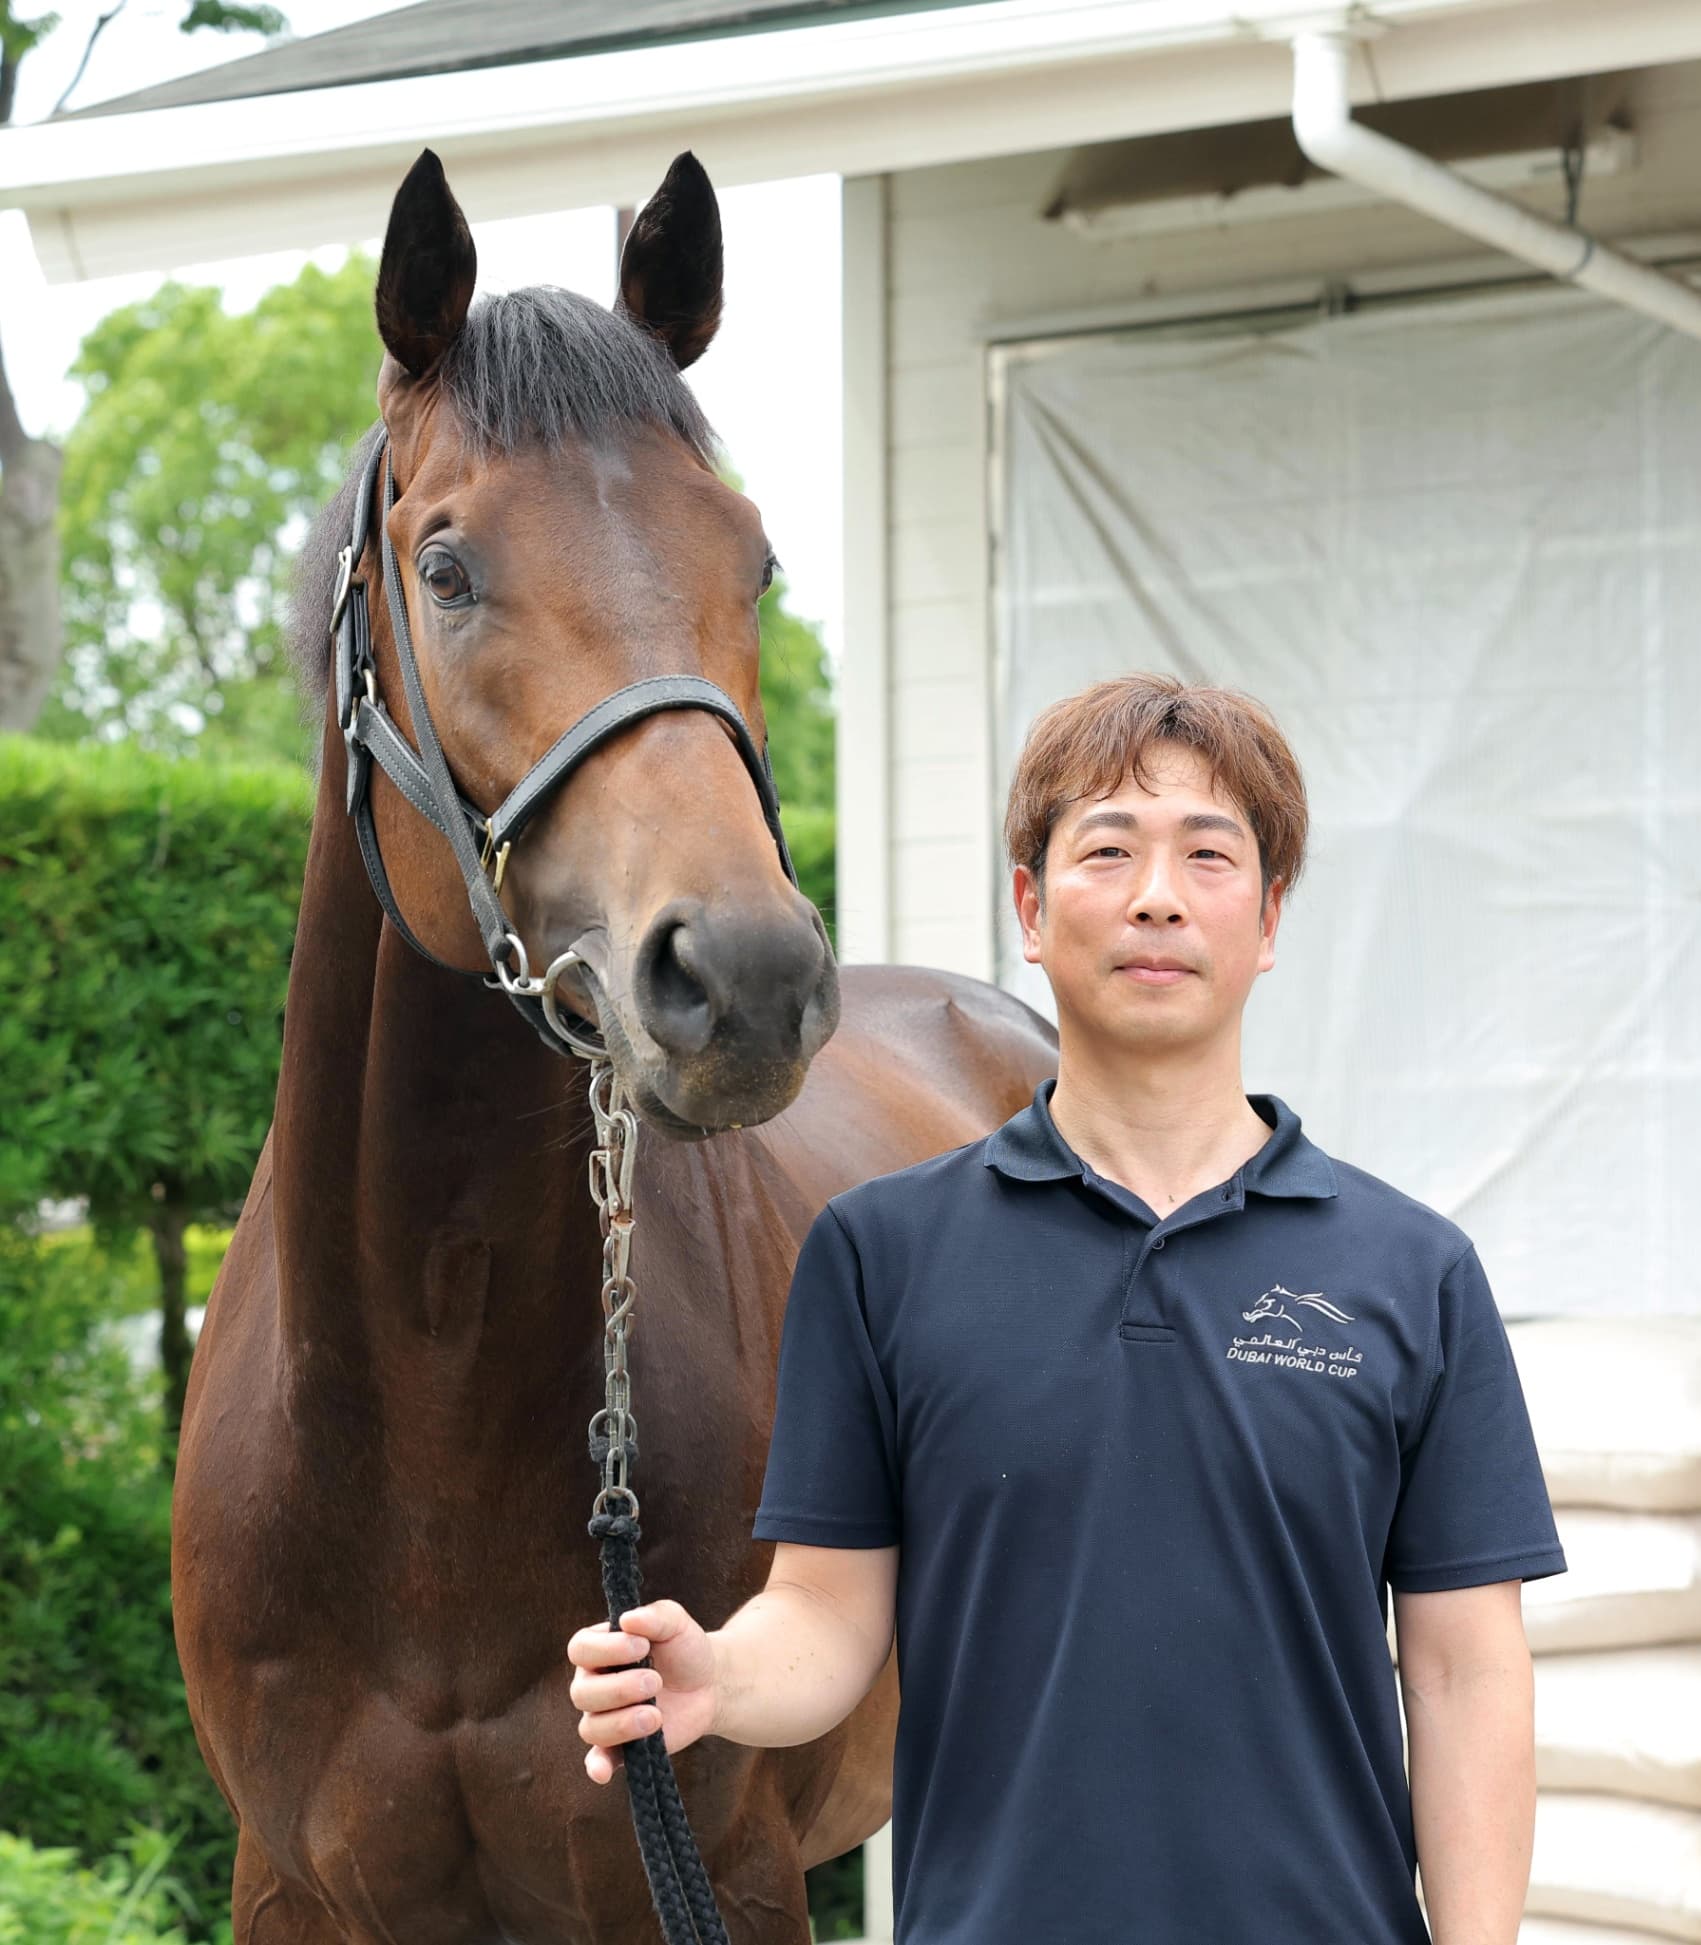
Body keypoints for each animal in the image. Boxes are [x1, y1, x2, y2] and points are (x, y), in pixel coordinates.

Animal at [171, 147, 1058, 1943]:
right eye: (445, 566)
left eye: (757, 561)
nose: (746, 981)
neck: (415, 1442)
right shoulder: (288, 1885)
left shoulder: (721, 1872)